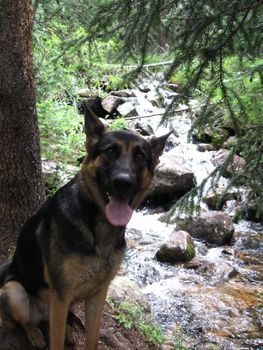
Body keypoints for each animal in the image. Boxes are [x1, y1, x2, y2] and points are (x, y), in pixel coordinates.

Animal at [0, 102, 169, 348]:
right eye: (110, 151)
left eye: (140, 156)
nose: (123, 182)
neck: (97, 225)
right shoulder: (61, 296)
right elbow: (56, 342)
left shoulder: (98, 294)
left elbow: (93, 337)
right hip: (15, 291)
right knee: (25, 321)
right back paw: (35, 334)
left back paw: (67, 330)